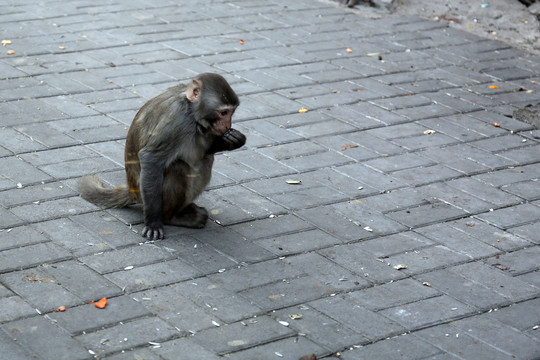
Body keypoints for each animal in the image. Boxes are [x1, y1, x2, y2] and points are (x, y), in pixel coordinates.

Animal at [78, 72, 247, 239]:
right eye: (223, 112)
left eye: (231, 112)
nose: (227, 125)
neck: (190, 109)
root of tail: (133, 190)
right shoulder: (177, 121)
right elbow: (151, 159)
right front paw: (153, 222)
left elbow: (204, 150)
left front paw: (233, 140)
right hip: (146, 195)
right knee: (179, 167)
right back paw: (171, 217)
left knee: (206, 160)